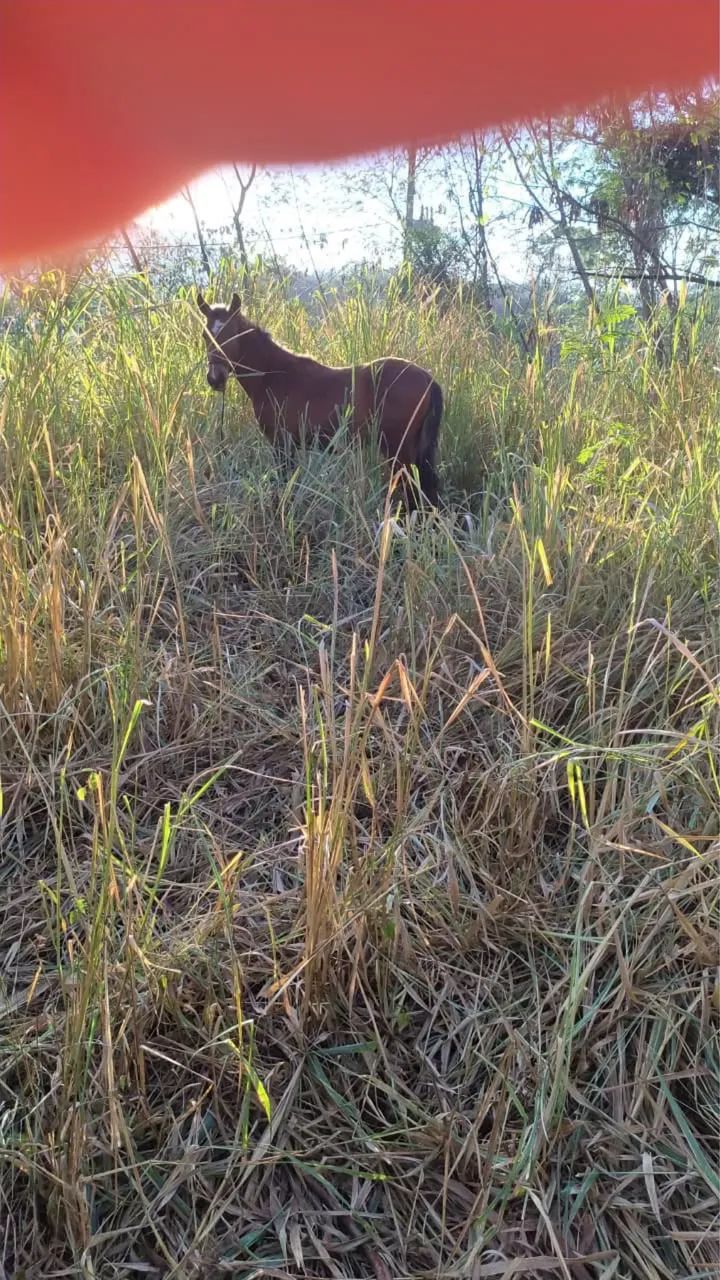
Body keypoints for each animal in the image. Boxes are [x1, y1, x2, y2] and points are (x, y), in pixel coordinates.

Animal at [197, 291, 442, 506]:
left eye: (232, 333)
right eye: (205, 335)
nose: (215, 378)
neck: (273, 374)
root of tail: (427, 378)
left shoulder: (282, 445)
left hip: (399, 451)